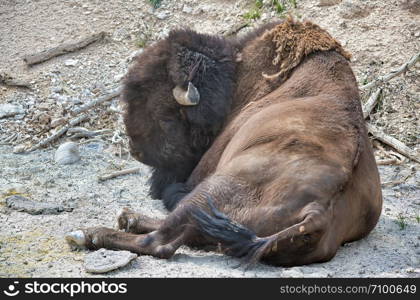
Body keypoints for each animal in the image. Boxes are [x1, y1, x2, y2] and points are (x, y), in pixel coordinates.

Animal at [66, 18, 384, 268]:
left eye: (165, 116)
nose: (136, 151)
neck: (238, 80)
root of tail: (317, 213)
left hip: (210, 192)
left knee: (160, 241)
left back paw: (88, 233)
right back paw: (126, 218)